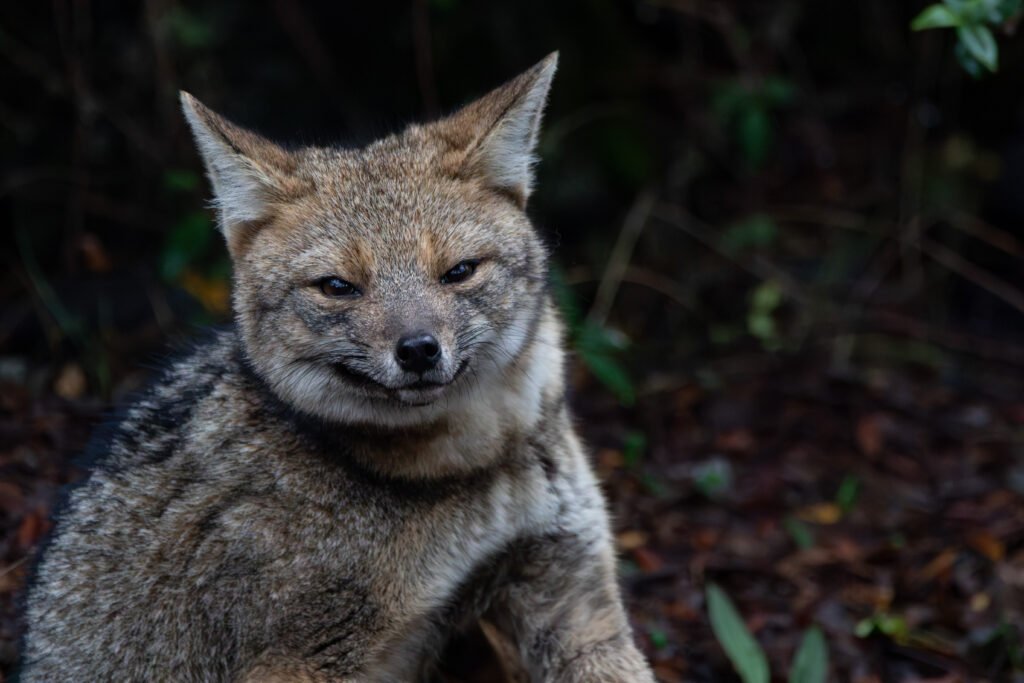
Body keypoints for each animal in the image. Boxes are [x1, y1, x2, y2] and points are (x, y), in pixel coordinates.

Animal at [20, 53, 655, 682]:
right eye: (338, 287)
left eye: (458, 272)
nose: (418, 350)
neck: (462, 472)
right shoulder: (298, 661)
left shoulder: (573, 602)